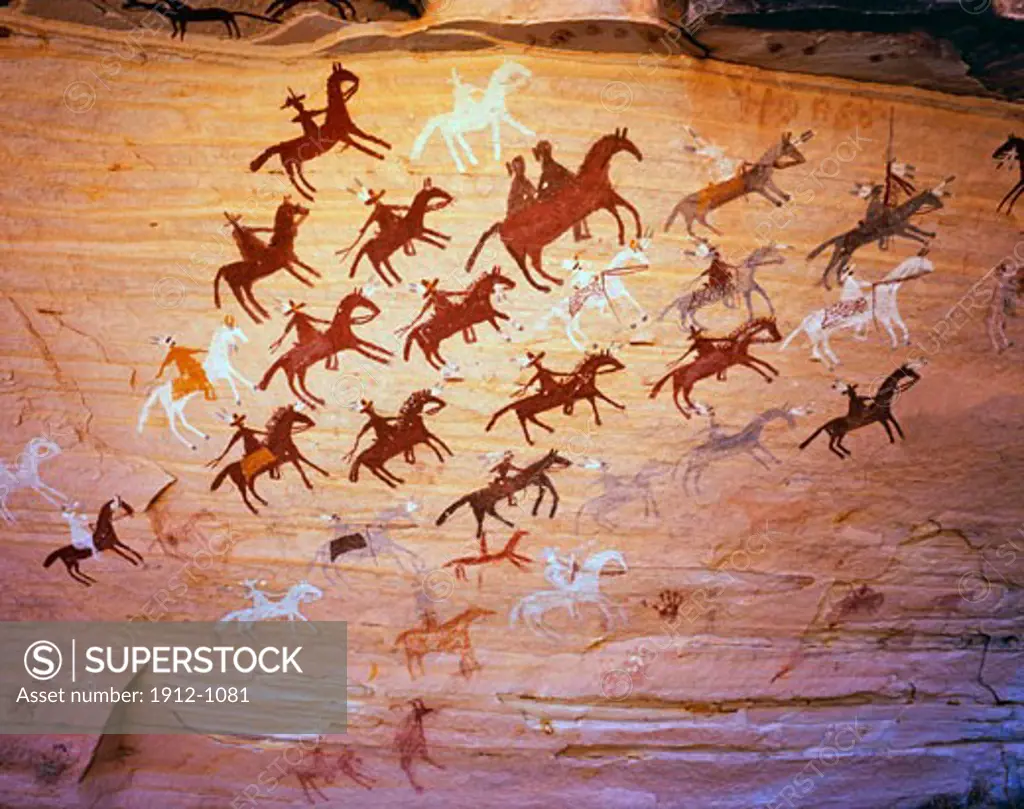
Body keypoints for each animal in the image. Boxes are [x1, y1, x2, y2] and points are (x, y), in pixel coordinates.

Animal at [212, 195, 315, 323]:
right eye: (295, 207)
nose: (307, 210)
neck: (280, 243)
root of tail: (225, 269)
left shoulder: (292, 257)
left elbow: (304, 265)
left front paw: (317, 274)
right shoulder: (285, 263)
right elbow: (297, 274)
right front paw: (310, 283)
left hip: (245, 283)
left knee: (247, 296)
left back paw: (262, 315)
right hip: (239, 283)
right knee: (243, 299)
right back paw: (259, 317)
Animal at [258, 290, 393, 405]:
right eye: (362, 300)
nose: (377, 310)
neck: (340, 327)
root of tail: (284, 357)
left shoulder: (355, 341)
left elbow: (372, 346)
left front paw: (389, 354)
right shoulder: (351, 345)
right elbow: (366, 351)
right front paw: (384, 360)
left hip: (299, 370)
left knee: (299, 386)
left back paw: (315, 401)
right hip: (297, 370)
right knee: (295, 386)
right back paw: (313, 402)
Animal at [464, 131, 638, 296]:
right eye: (625, 142)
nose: (639, 155)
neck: (590, 175)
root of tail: (501, 226)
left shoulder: (608, 197)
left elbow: (628, 209)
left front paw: (631, 233)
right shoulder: (604, 199)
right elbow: (622, 213)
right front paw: (626, 235)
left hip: (529, 249)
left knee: (533, 267)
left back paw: (553, 282)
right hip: (526, 249)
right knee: (528, 268)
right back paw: (545, 286)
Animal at [778, 254, 933, 368]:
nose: (929, 266)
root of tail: (805, 321)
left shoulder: (885, 315)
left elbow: (897, 327)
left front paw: (902, 342)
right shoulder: (883, 315)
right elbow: (892, 328)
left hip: (822, 336)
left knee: (821, 350)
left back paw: (835, 362)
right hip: (820, 336)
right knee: (818, 350)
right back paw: (832, 364)